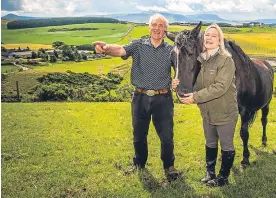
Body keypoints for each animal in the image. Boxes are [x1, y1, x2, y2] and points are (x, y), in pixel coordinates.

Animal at [167, 21, 274, 167]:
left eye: (190, 53)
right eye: (172, 59)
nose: (181, 93)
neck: (236, 77)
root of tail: (267, 64)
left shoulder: (245, 112)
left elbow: (244, 133)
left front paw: (245, 158)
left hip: (266, 105)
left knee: (264, 121)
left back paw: (264, 140)